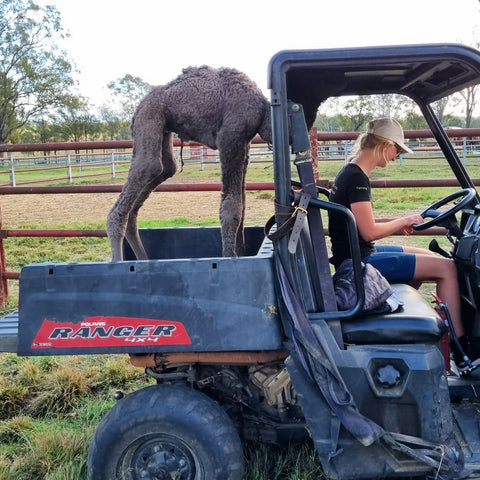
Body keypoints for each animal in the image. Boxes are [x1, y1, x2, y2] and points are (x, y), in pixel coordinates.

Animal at [107, 65, 272, 260]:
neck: (263, 109)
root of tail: (140, 105)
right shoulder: (231, 137)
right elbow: (231, 207)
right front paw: (229, 259)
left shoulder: (244, 144)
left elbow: (243, 205)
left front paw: (240, 254)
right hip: (149, 116)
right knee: (147, 166)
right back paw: (117, 261)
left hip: (162, 127)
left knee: (165, 168)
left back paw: (142, 258)